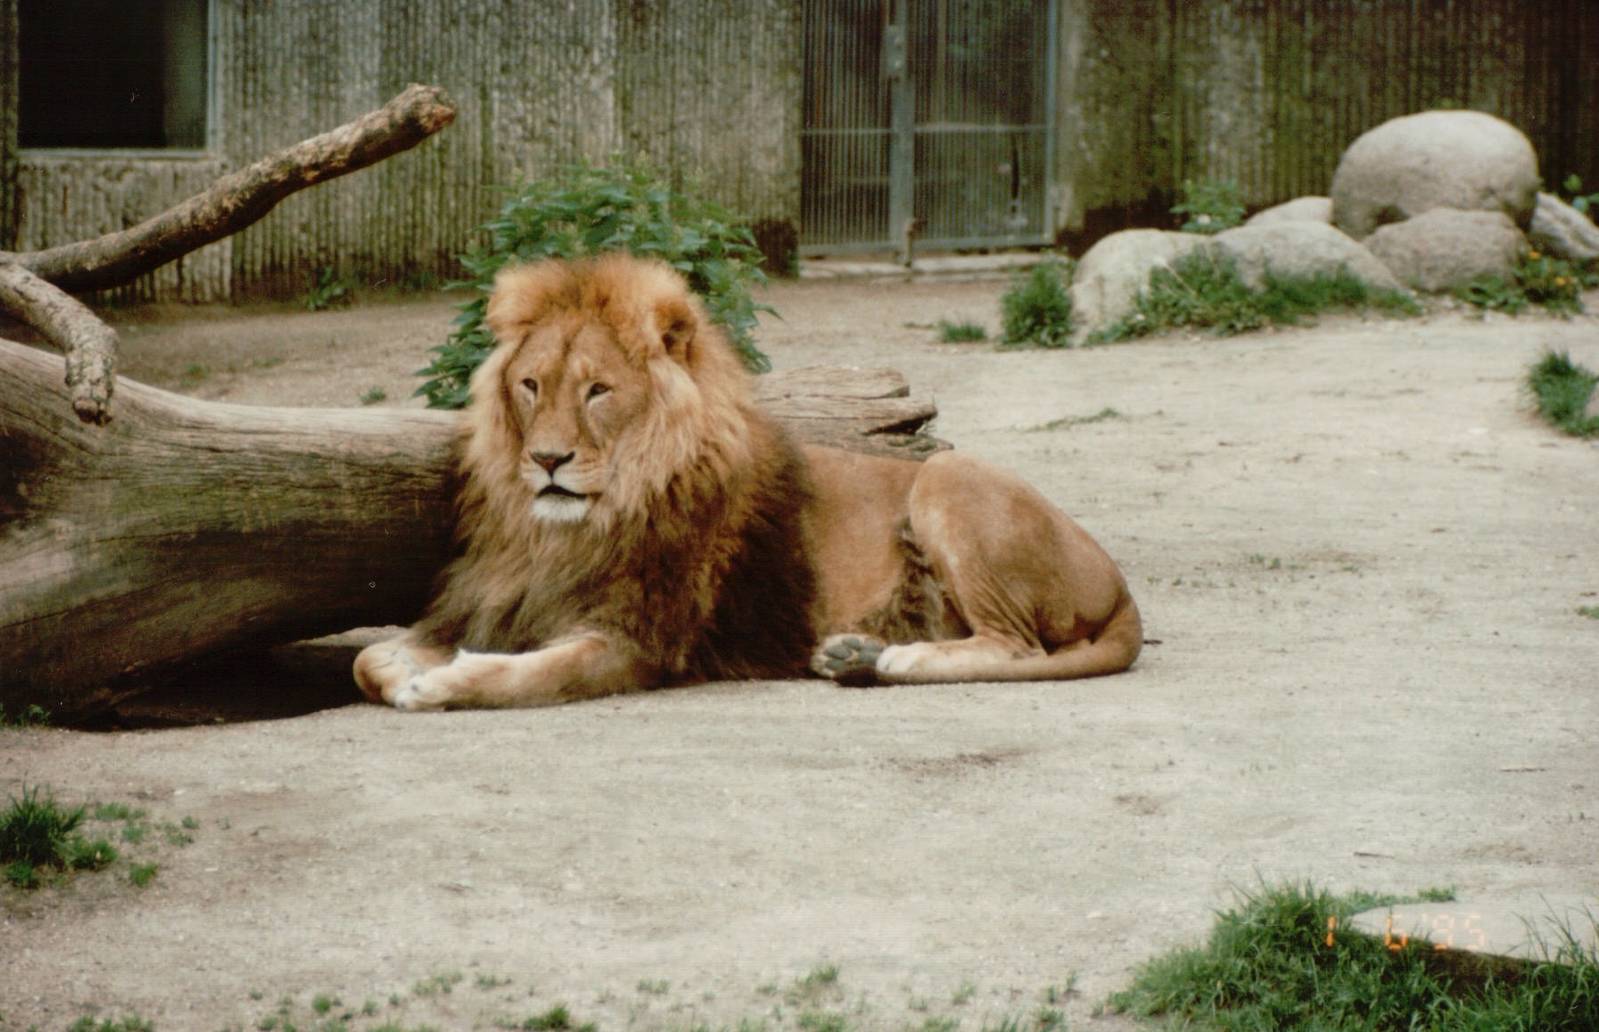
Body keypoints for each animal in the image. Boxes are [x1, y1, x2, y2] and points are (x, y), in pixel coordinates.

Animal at [354, 254, 1141, 710]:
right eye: (530, 385)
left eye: (597, 391)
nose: (547, 460)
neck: (567, 532)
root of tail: (1120, 585)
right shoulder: (494, 606)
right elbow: (367, 659)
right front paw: (403, 669)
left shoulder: (632, 642)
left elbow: (523, 674)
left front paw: (442, 683)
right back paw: (857, 657)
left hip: (947, 476)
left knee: (1015, 648)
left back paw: (889, 654)